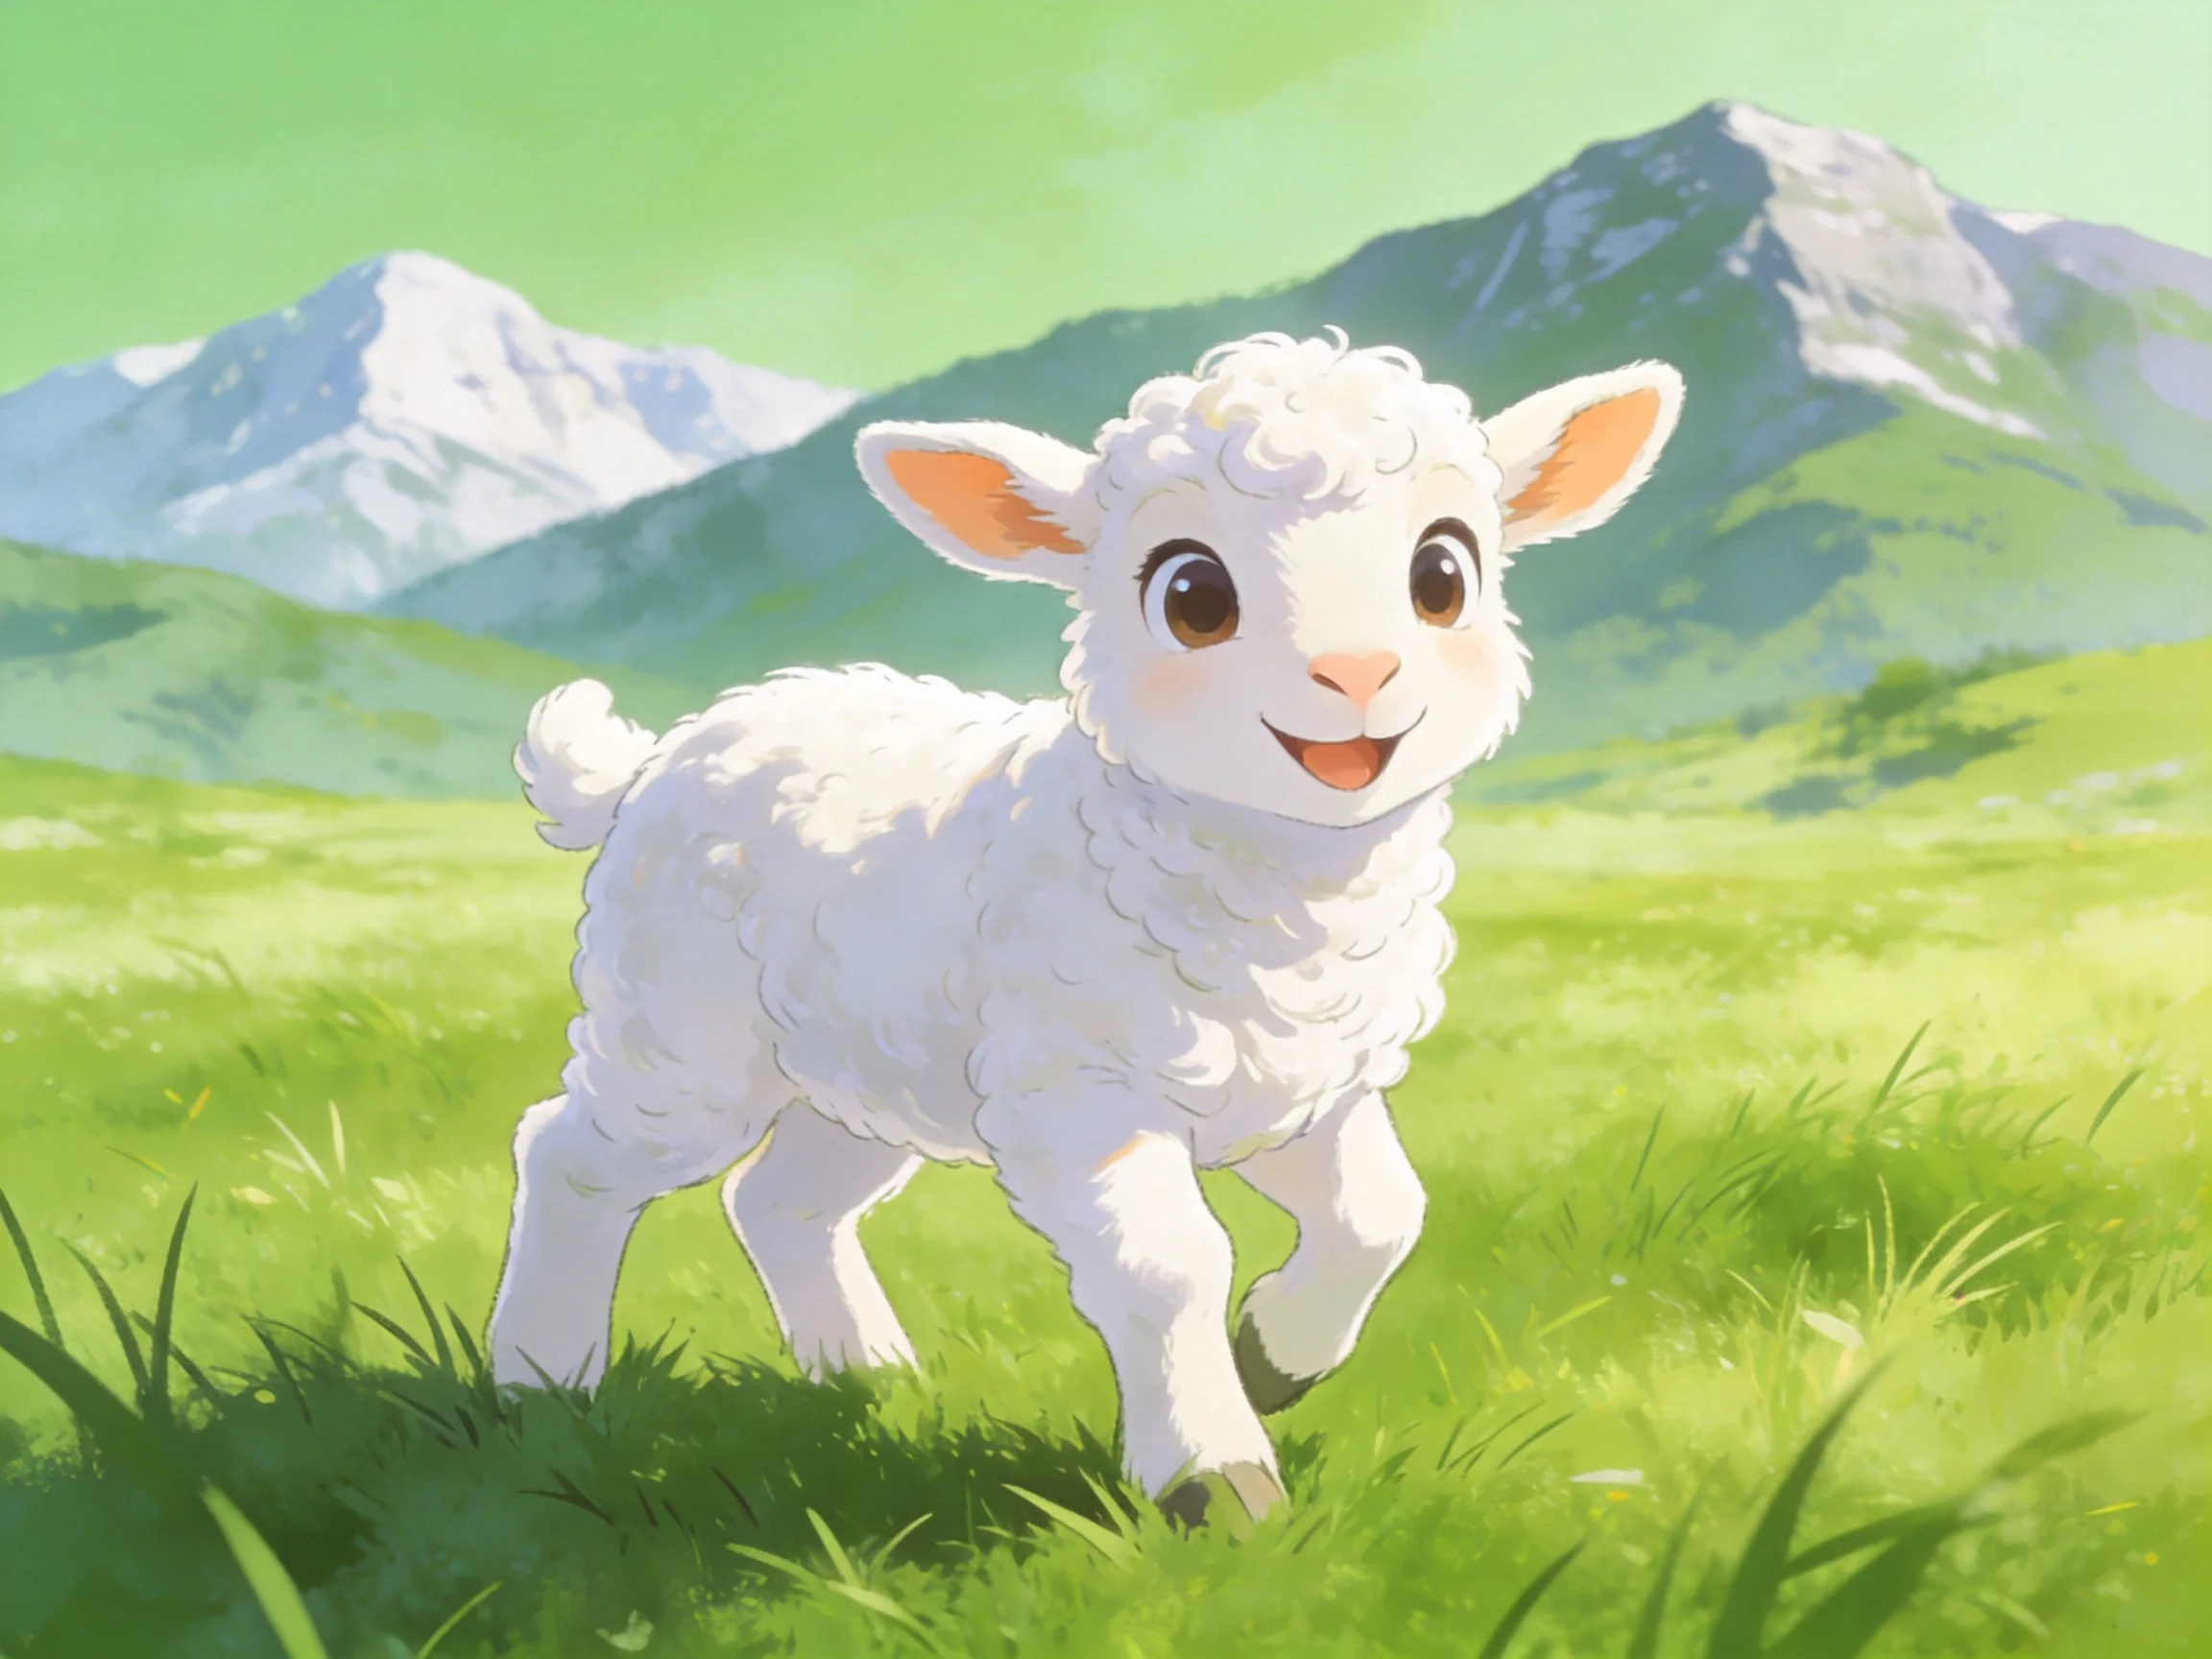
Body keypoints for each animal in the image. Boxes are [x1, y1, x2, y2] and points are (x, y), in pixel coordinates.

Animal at [487, 330, 1683, 1529]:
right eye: (1192, 594)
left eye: (1444, 575)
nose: (1357, 674)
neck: (1266, 889)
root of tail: (657, 757)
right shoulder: (1079, 1091)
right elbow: (1171, 1265)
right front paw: (1215, 1480)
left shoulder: (1300, 1084)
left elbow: (1383, 1215)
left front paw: (1275, 1358)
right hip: (681, 1032)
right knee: (571, 1155)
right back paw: (542, 1379)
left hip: (865, 1064)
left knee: (779, 1199)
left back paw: (865, 1372)